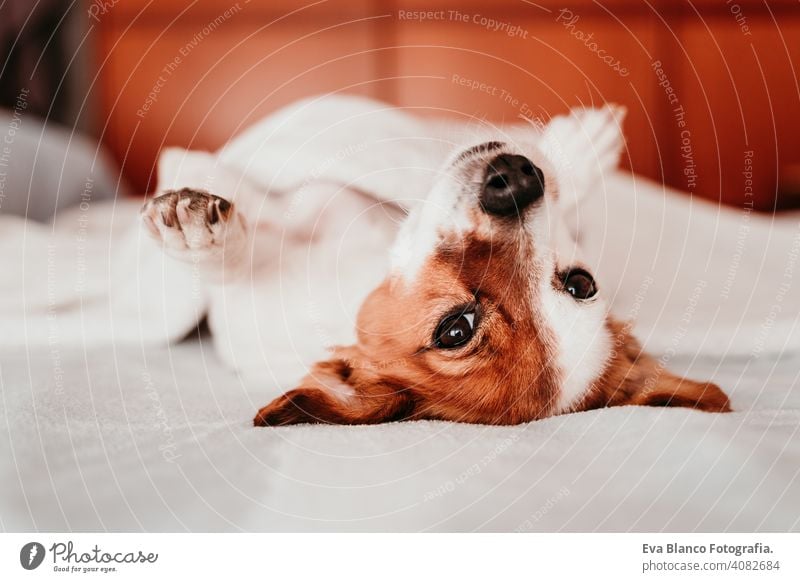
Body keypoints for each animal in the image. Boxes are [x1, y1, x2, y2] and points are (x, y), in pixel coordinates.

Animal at [142, 101, 732, 428]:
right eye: (580, 284)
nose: (515, 181)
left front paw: (199, 232)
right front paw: (578, 153)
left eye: (455, 330)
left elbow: (232, 255)